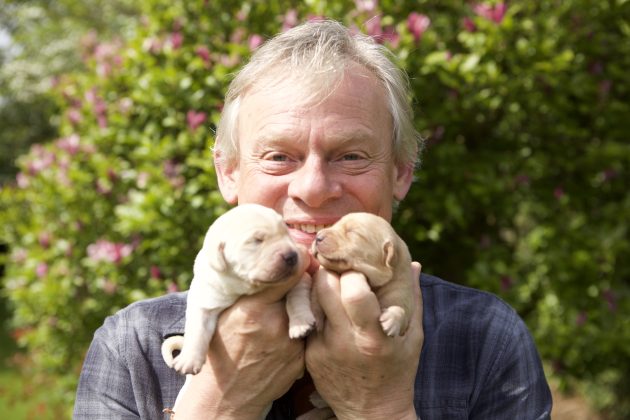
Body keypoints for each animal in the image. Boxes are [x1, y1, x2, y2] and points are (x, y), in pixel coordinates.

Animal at [162, 202, 316, 376]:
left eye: (287, 234)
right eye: (257, 240)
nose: (292, 256)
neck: (245, 286)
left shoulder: (300, 278)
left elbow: (296, 298)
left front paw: (300, 324)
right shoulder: (205, 299)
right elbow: (197, 329)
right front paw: (188, 359)